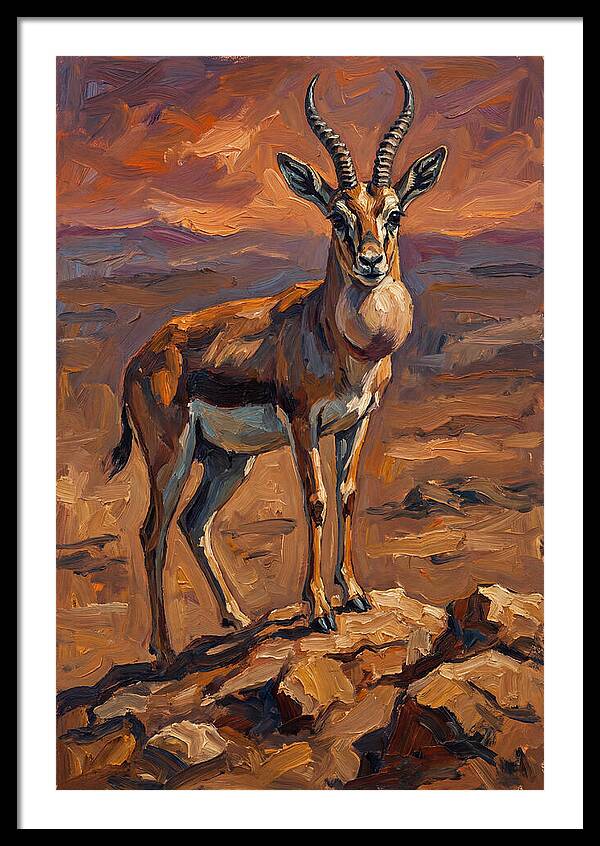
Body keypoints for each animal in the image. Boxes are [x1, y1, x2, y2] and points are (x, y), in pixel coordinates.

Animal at [108, 71, 447, 666]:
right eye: (337, 214)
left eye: (394, 212)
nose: (371, 263)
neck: (337, 341)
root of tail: (139, 357)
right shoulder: (302, 423)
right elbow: (314, 500)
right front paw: (319, 610)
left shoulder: (357, 422)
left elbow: (347, 493)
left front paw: (354, 594)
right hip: (172, 456)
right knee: (152, 531)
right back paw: (165, 650)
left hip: (227, 462)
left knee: (195, 523)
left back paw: (238, 618)